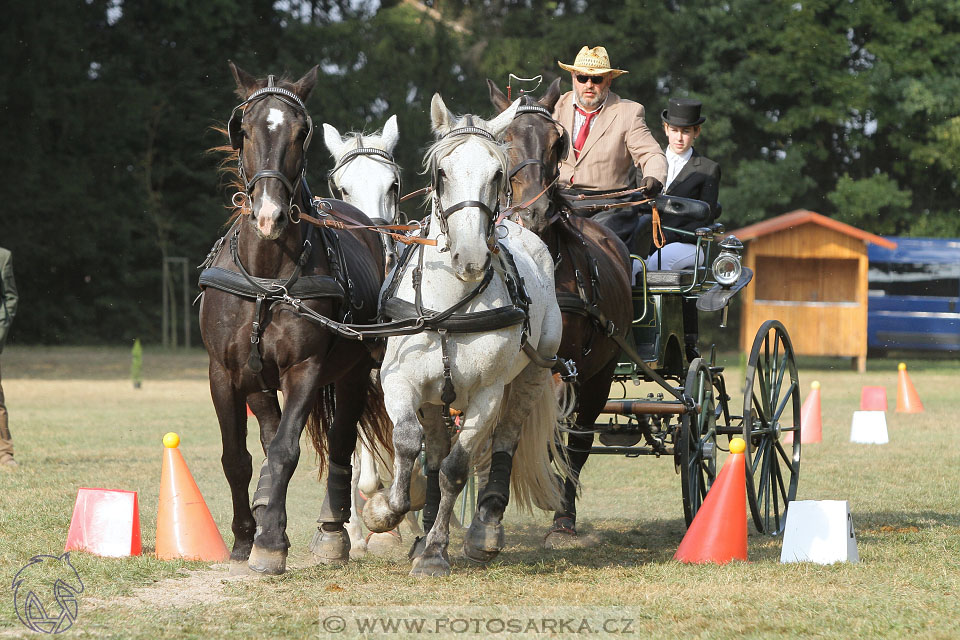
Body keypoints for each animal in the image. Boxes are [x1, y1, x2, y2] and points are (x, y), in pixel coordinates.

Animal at [201, 63, 392, 576]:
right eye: (243, 130)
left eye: (300, 132)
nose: (268, 215)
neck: (267, 275)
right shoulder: (224, 372)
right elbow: (237, 457)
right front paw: (246, 538)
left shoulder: (305, 368)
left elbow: (288, 450)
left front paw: (269, 544)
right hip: (258, 378)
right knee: (268, 439)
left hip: (352, 371)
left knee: (343, 442)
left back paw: (333, 531)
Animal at [364, 96, 568, 580]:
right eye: (442, 172)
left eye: (497, 173)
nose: (471, 256)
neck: (450, 304)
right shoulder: (399, 381)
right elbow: (409, 442)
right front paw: (386, 510)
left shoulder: (487, 395)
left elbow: (456, 469)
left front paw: (436, 552)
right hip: (436, 397)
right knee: (434, 447)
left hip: (532, 374)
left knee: (505, 441)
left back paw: (485, 530)